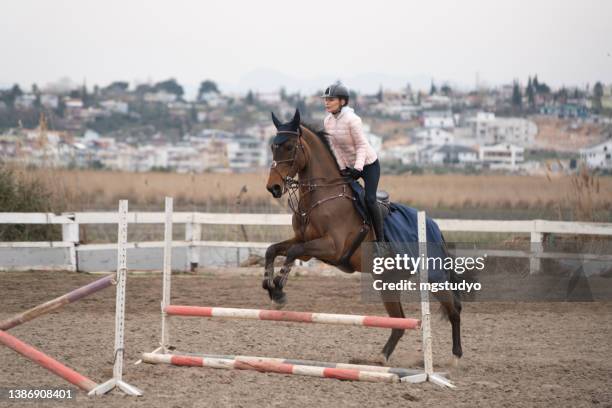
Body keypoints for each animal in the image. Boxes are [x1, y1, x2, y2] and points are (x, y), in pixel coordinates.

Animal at [264, 109, 464, 364]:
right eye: (273, 146)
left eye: (289, 147)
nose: (274, 188)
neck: (322, 197)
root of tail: (434, 227)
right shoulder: (305, 243)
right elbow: (273, 250)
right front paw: (269, 286)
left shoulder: (332, 247)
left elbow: (291, 252)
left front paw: (279, 291)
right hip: (387, 282)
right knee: (400, 321)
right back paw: (380, 357)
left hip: (434, 277)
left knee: (454, 310)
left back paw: (455, 357)